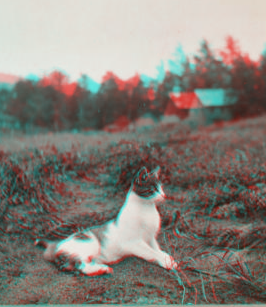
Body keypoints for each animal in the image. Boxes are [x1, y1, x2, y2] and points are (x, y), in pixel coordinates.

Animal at [34, 167, 178, 278]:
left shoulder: (150, 237)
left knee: (74, 265)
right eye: (153, 190)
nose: (164, 196)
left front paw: (168, 258)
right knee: (80, 265)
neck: (148, 209)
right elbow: (151, 253)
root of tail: (56, 245)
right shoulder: (134, 242)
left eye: (162, 189)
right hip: (91, 242)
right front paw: (165, 262)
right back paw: (103, 269)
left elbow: (157, 248)